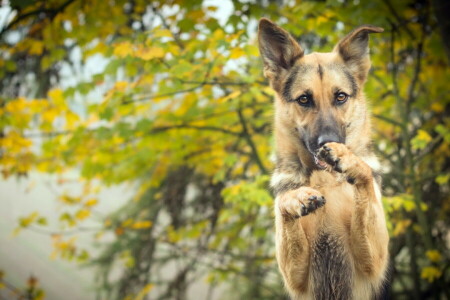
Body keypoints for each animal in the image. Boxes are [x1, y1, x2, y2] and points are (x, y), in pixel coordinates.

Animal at [258, 19, 388, 300]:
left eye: (340, 97)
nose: (325, 142)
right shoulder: (295, 275)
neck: (325, 180)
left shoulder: (372, 260)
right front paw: (295, 198)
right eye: (304, 99)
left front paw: (348, 159)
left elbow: (364, 178)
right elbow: (284, 203)